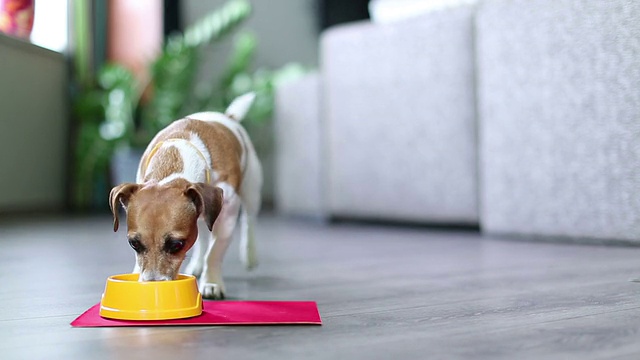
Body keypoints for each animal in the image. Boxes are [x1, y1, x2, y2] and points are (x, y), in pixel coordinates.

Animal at [109, 92, 262, 298]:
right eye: (134, 244)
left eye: (176, 245)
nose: (152, 284)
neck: (175, 162)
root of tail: (228, 116)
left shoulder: (228, 216)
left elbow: (214, 253)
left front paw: (211, 282)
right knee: (204, 236)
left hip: (251, 189)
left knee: (249, 220)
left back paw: (249, 253)